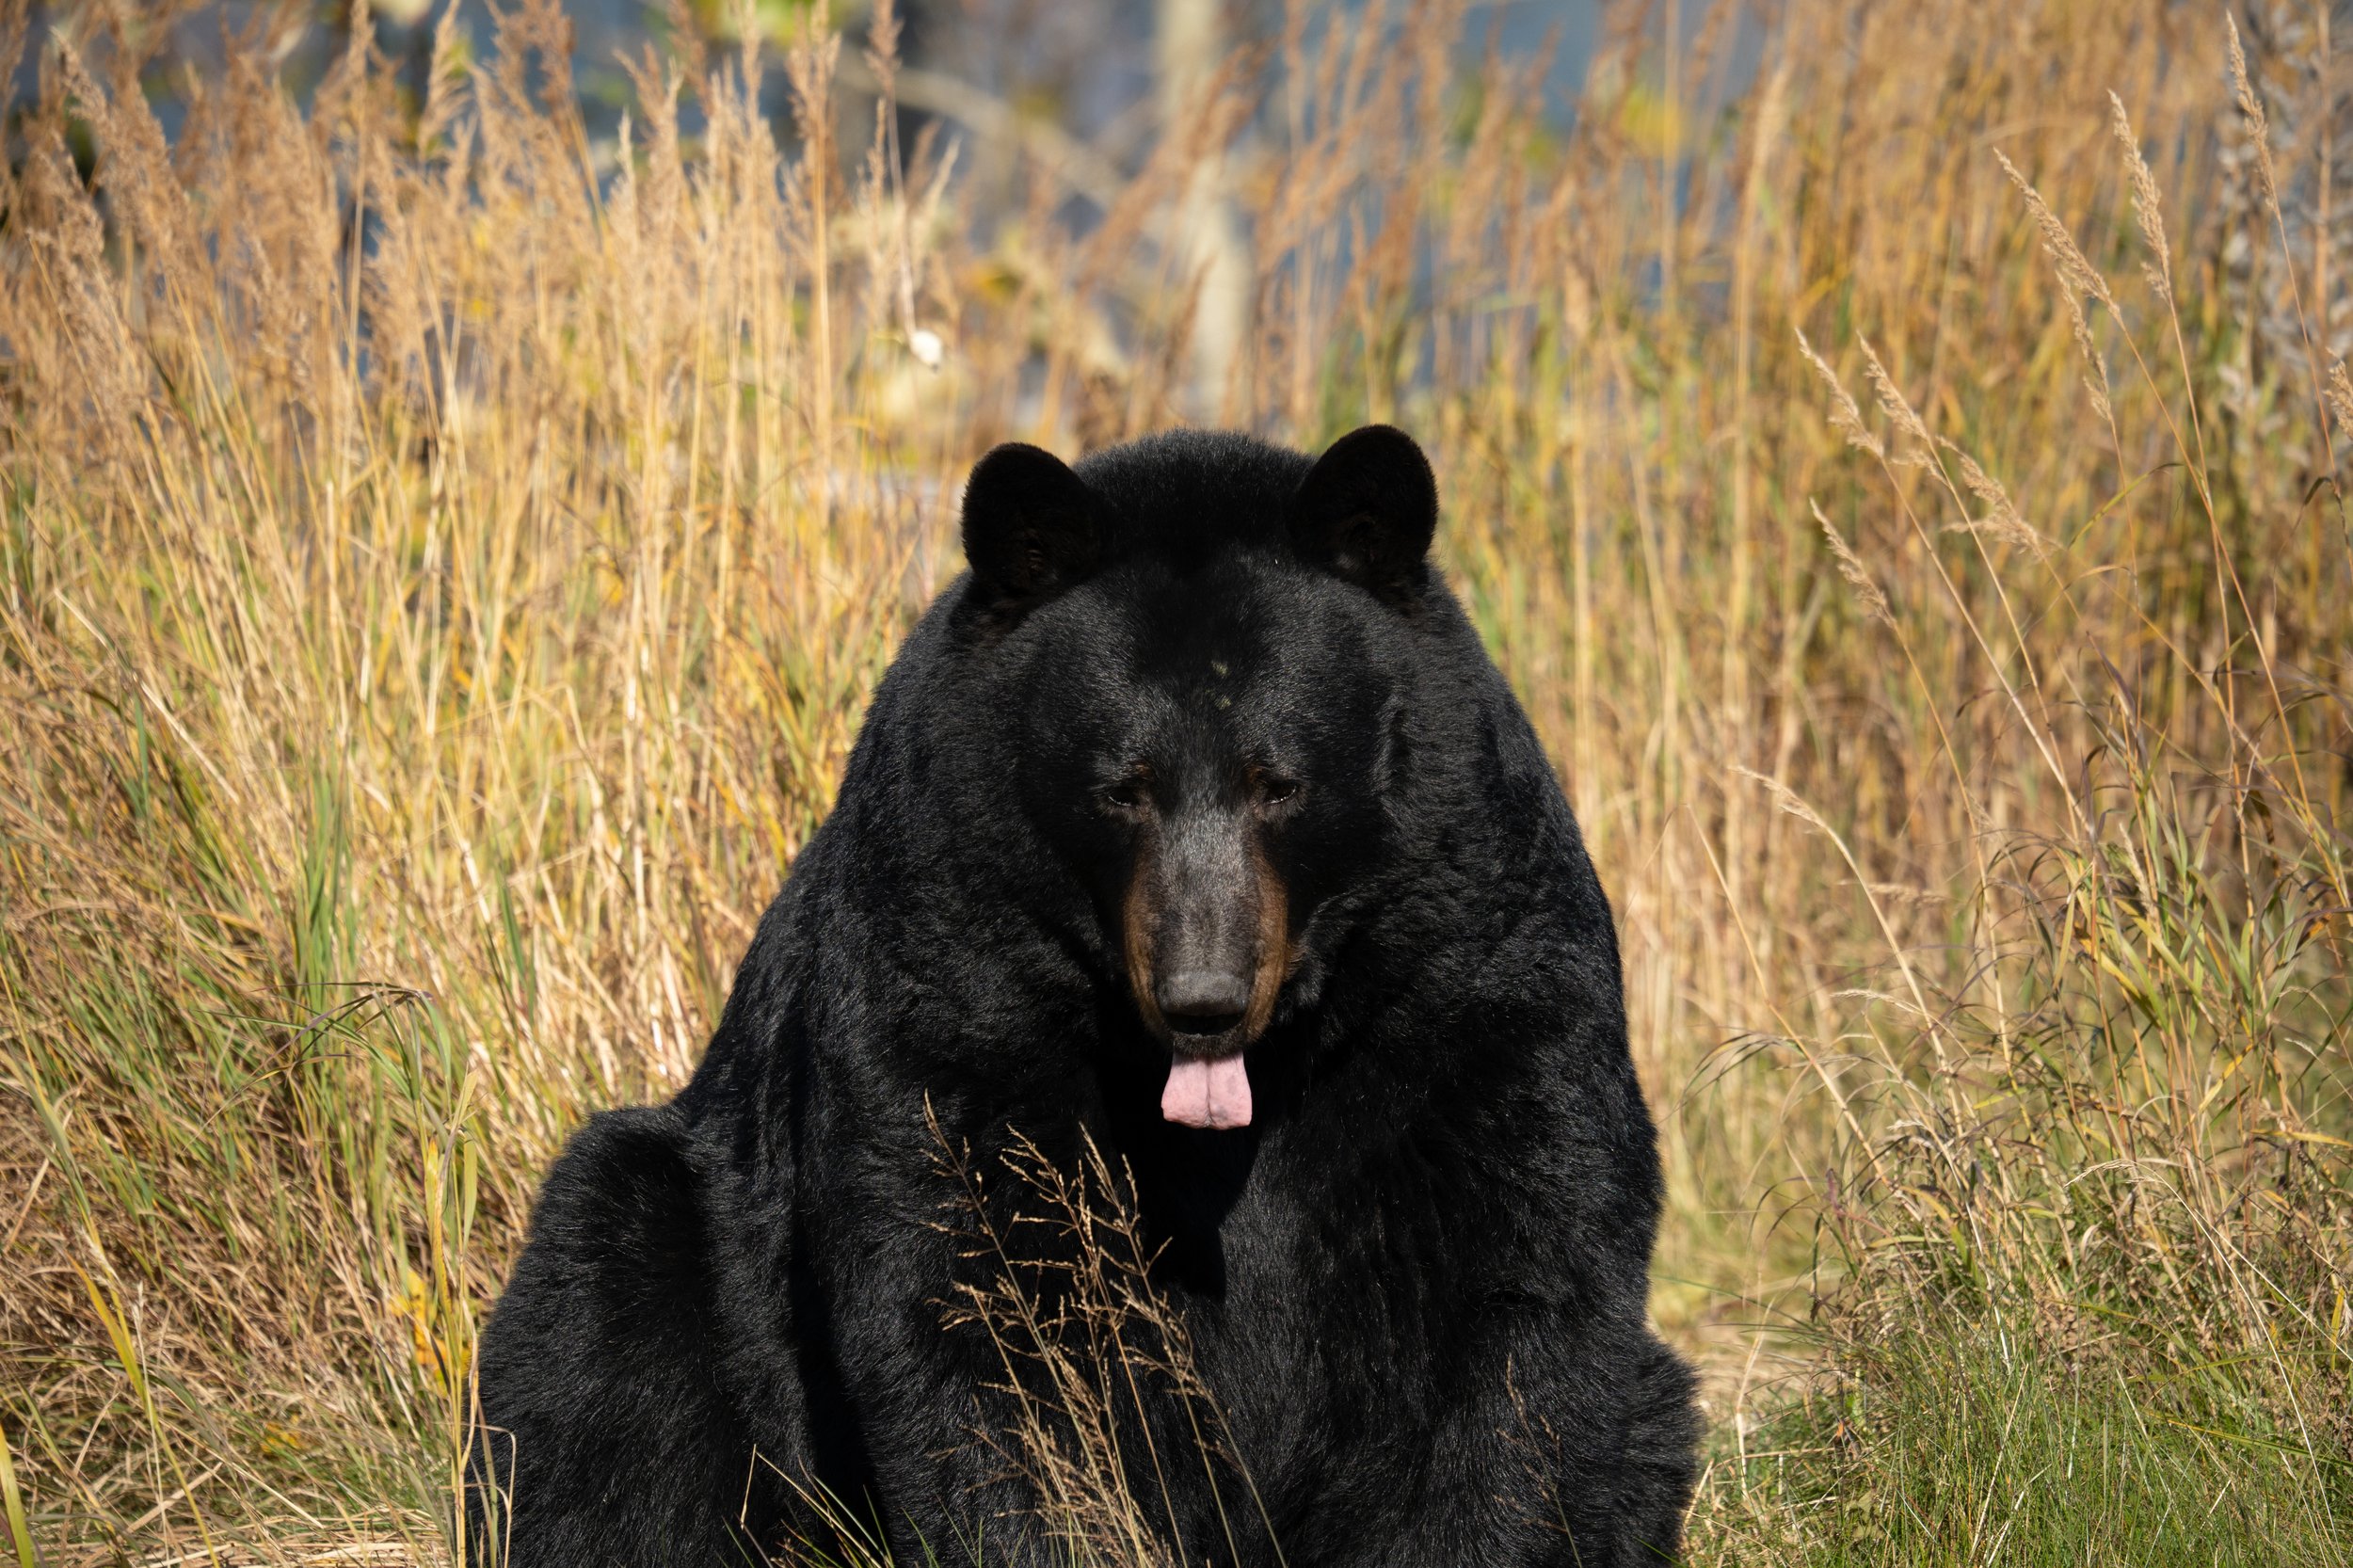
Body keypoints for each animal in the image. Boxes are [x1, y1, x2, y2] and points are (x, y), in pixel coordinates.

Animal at [469, 424, 1701, 1567]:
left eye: (1279, 783)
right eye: (1122, 787)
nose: (1203, 997)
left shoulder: (1466, 958)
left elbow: (1513, 1288)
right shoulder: (951, 952)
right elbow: (975, 1298)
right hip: (684, 1242)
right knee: (600, 1361)